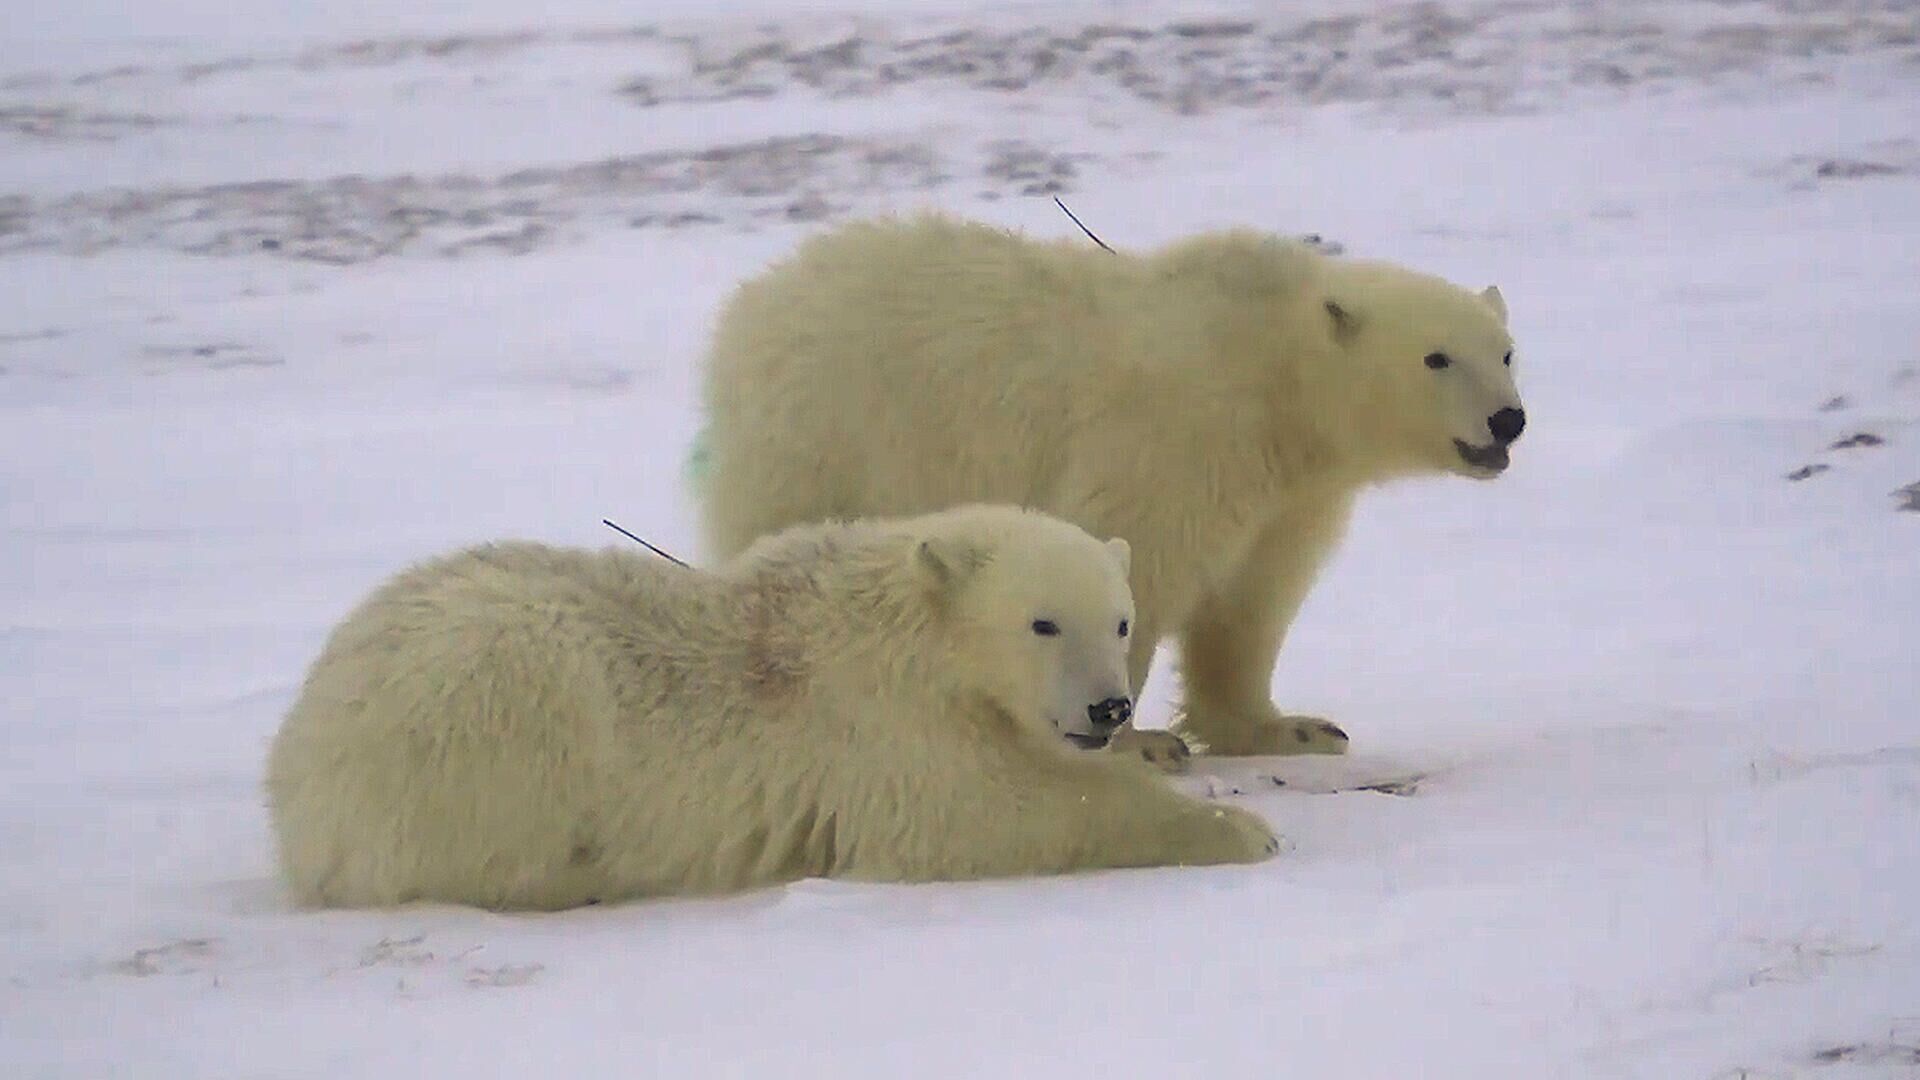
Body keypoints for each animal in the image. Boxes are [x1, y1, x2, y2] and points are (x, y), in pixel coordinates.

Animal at [263, 499, 1282, 903]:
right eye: (1042, 623)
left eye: (1121, 622)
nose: (1109, 711)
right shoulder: (881, 725)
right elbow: (981, 814)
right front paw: (1239, 830)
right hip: (489, 704)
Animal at [698, 212, 1520, 764]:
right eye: (1436, 357)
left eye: (1507, 351)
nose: (1508, 420)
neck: (1272, 369)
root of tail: (751, 306)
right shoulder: (1178, 436)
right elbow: (1143, 565)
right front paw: (1140, 740)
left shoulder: (1290, 491)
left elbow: (1252, 601)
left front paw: (1290, 727)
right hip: (834, 437)